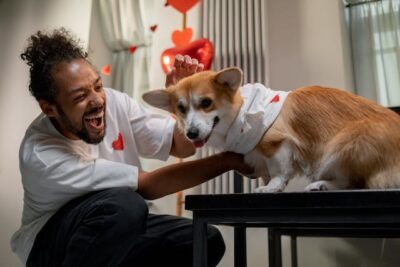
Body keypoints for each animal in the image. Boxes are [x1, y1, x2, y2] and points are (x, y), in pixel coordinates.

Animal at [142, 67, 400, 193]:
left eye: (206, 103)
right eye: (181, 108)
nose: (191, 134)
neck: (240, 114)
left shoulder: (276, 144)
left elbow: (279, 171)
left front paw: (271, 187)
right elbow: (267, 170)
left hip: (347, 142)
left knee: (355, 180)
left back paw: (323, 184)